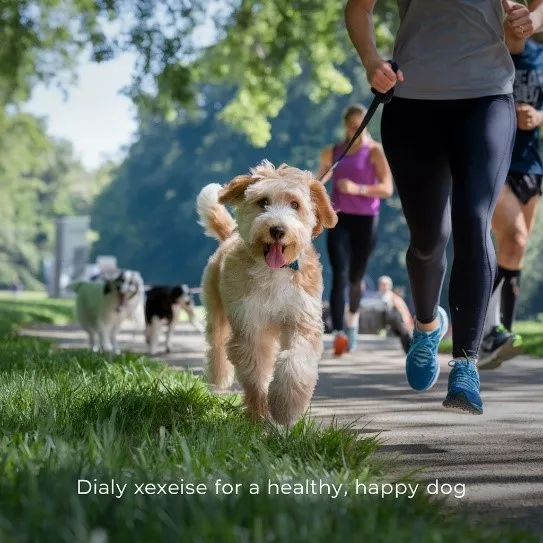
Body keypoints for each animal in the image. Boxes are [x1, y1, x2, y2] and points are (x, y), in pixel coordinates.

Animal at [196, 159, 340, 428]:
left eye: (295, 204)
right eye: (263, 202)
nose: (277, 229)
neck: (274, 272)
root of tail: (230, 236)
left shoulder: (302, 320)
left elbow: (294, 360)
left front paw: (286, 406)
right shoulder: (250, 327)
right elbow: (256, 375)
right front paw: (259, 415)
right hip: (216, 308)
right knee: (216, 341)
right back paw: (219, 377)